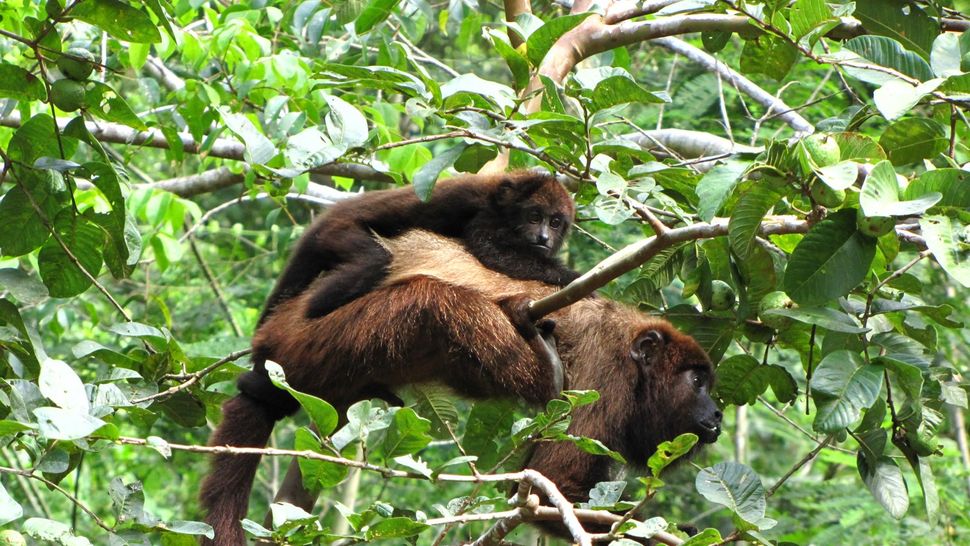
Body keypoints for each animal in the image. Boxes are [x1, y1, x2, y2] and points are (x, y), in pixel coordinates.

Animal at [200, 230, 720, 544]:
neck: (633, 358)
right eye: (697, 380)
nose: (716, 413)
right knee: (427, 301)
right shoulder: (604, 374)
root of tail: (271, 335)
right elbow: (557, 484)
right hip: (308, 342)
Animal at [258, 170, 576, 320]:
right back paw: (317, 307)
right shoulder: (485, 216)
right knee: (374, 259)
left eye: (555, 222)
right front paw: (572, 276)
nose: (543, 238)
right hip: (337, 232)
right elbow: (492, 251)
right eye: (534, 217)